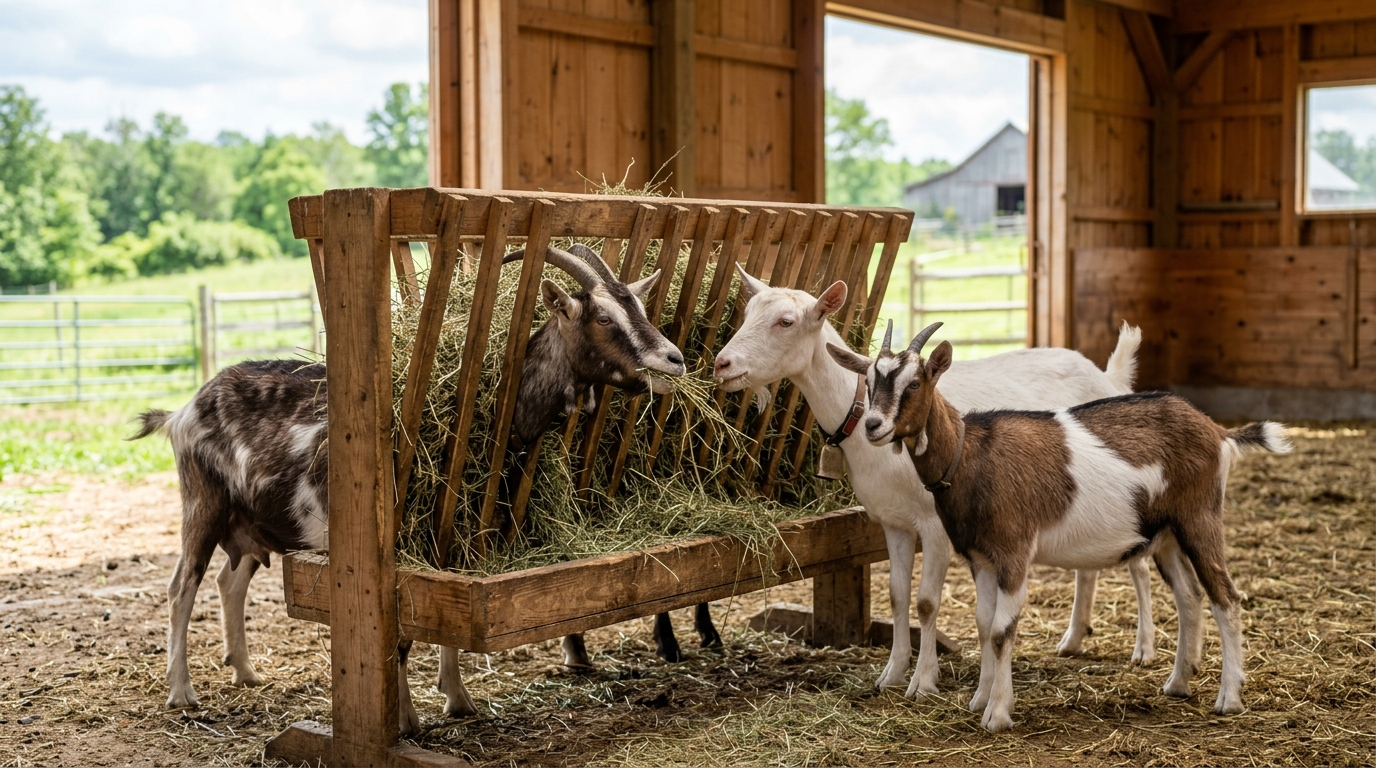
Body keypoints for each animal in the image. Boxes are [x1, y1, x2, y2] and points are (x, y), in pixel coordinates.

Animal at [131, 244, 686, 733]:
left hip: (254, 522)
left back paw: (245, 672)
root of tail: (182, 411)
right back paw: (181, 693)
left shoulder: (452, 536)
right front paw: (404, 720)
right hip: (202, 502)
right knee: (182, 587)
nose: (674, 360)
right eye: (604, 318)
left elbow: (448, 616)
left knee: (230, 581)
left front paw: (458, 699)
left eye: (639, 307)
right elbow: (396, 635)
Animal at [712, 267, 1151, 700]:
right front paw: (891, 673)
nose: (722, 364)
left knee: (1140, 563)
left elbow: (925, 602)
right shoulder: (893, 522)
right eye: (748, 312)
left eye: (785, 322)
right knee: (1089, 568)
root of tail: (1108, 377)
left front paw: (923, 681)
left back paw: (1144, 649)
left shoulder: (935, 523)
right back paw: (1072, 639)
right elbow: (897, 595)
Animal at [828, 323, 1290, 732]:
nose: (873, 426)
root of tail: (1218, 432)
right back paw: (1177, 683)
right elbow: (983, 624)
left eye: (914, 384)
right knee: (1189, 596)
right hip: (1166, 535)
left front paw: (997, 715)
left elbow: (1002, 631)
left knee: (1225, 597)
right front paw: (981, 698)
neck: (969, 454)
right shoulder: (980, 557)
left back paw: (1229, 698)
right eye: (869, 380)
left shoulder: (1013, 552)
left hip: (1199, 518)